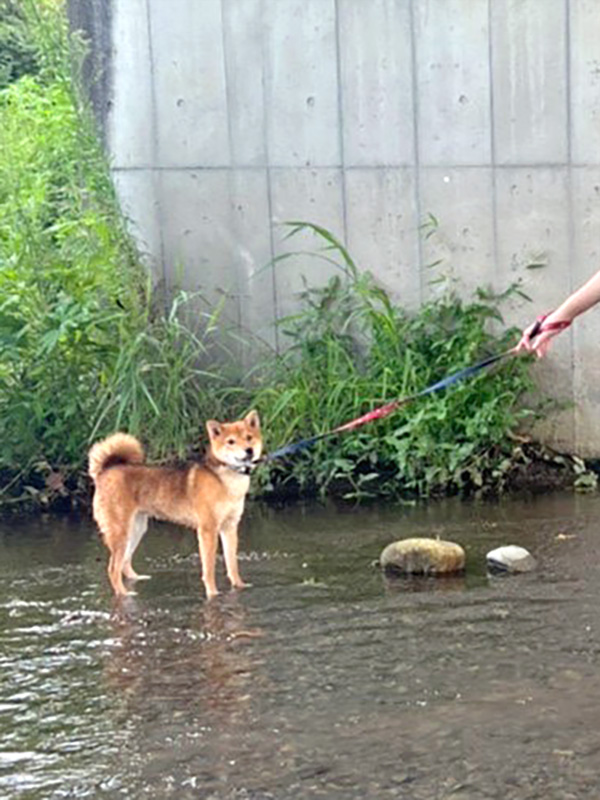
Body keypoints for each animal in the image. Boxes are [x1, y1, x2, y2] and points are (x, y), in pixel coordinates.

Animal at [88, 416, 262, 596]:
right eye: (231, 441)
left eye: (249, 437)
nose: (249, 450)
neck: (225, 478)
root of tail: (104, 471)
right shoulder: (208, 530)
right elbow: (209, 568)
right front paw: (213, 592)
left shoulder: (230, 527)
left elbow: (232, 564)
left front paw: (240, 586)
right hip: (120, 532)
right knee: (113, 568)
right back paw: (124, 593)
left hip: (136, 530)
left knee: (124, 562)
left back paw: (137, 578)